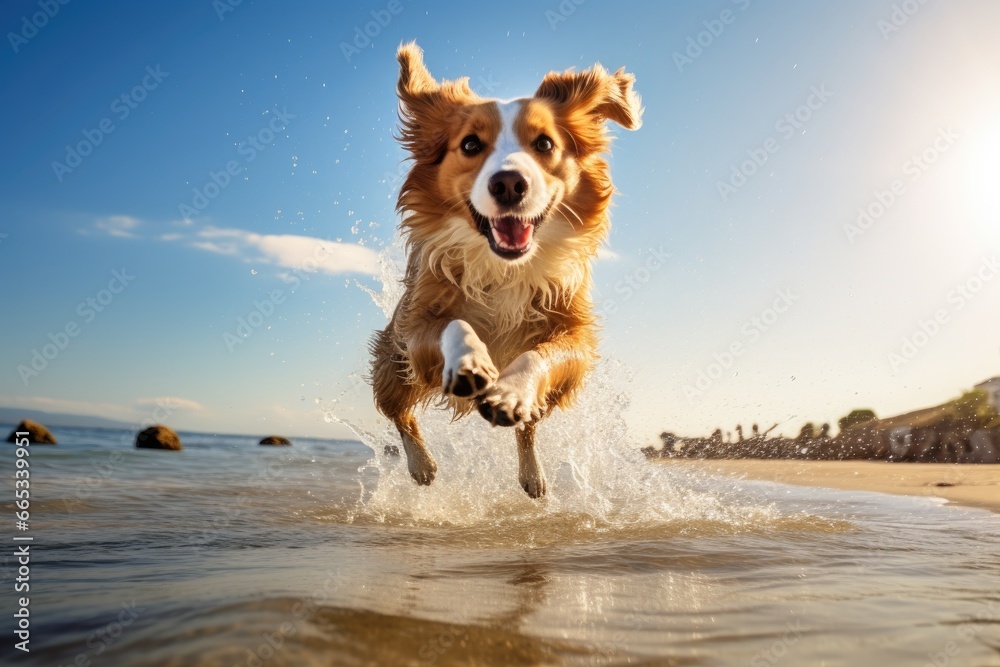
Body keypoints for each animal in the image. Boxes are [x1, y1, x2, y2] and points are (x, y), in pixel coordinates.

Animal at [370, 41, 640, 498]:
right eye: (471, 145)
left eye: (545, 144)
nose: (509, 183)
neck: (504, 267)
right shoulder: (417, 325)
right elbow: (455, 324)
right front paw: (469, 361)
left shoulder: (575, 332)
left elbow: (542, 356)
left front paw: (511, 391)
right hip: (392, 361)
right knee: (399, 415)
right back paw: (421, 465)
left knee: (527, 429)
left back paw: (532, 472)